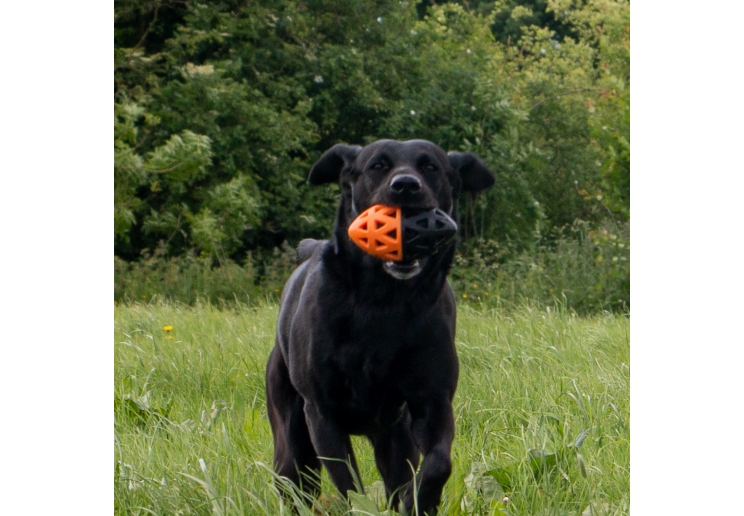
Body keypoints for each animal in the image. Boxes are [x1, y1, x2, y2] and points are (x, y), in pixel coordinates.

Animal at [266, 139, 494, 512]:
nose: (406, 185)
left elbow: (438, 463)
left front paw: (418, 499)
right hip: (292, 438)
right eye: (377, 165)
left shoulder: (432, 402)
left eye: (430, 167)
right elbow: (348, 483)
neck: (384, 303)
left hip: (394, 436)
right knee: (295, 479)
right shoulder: (322, 414)